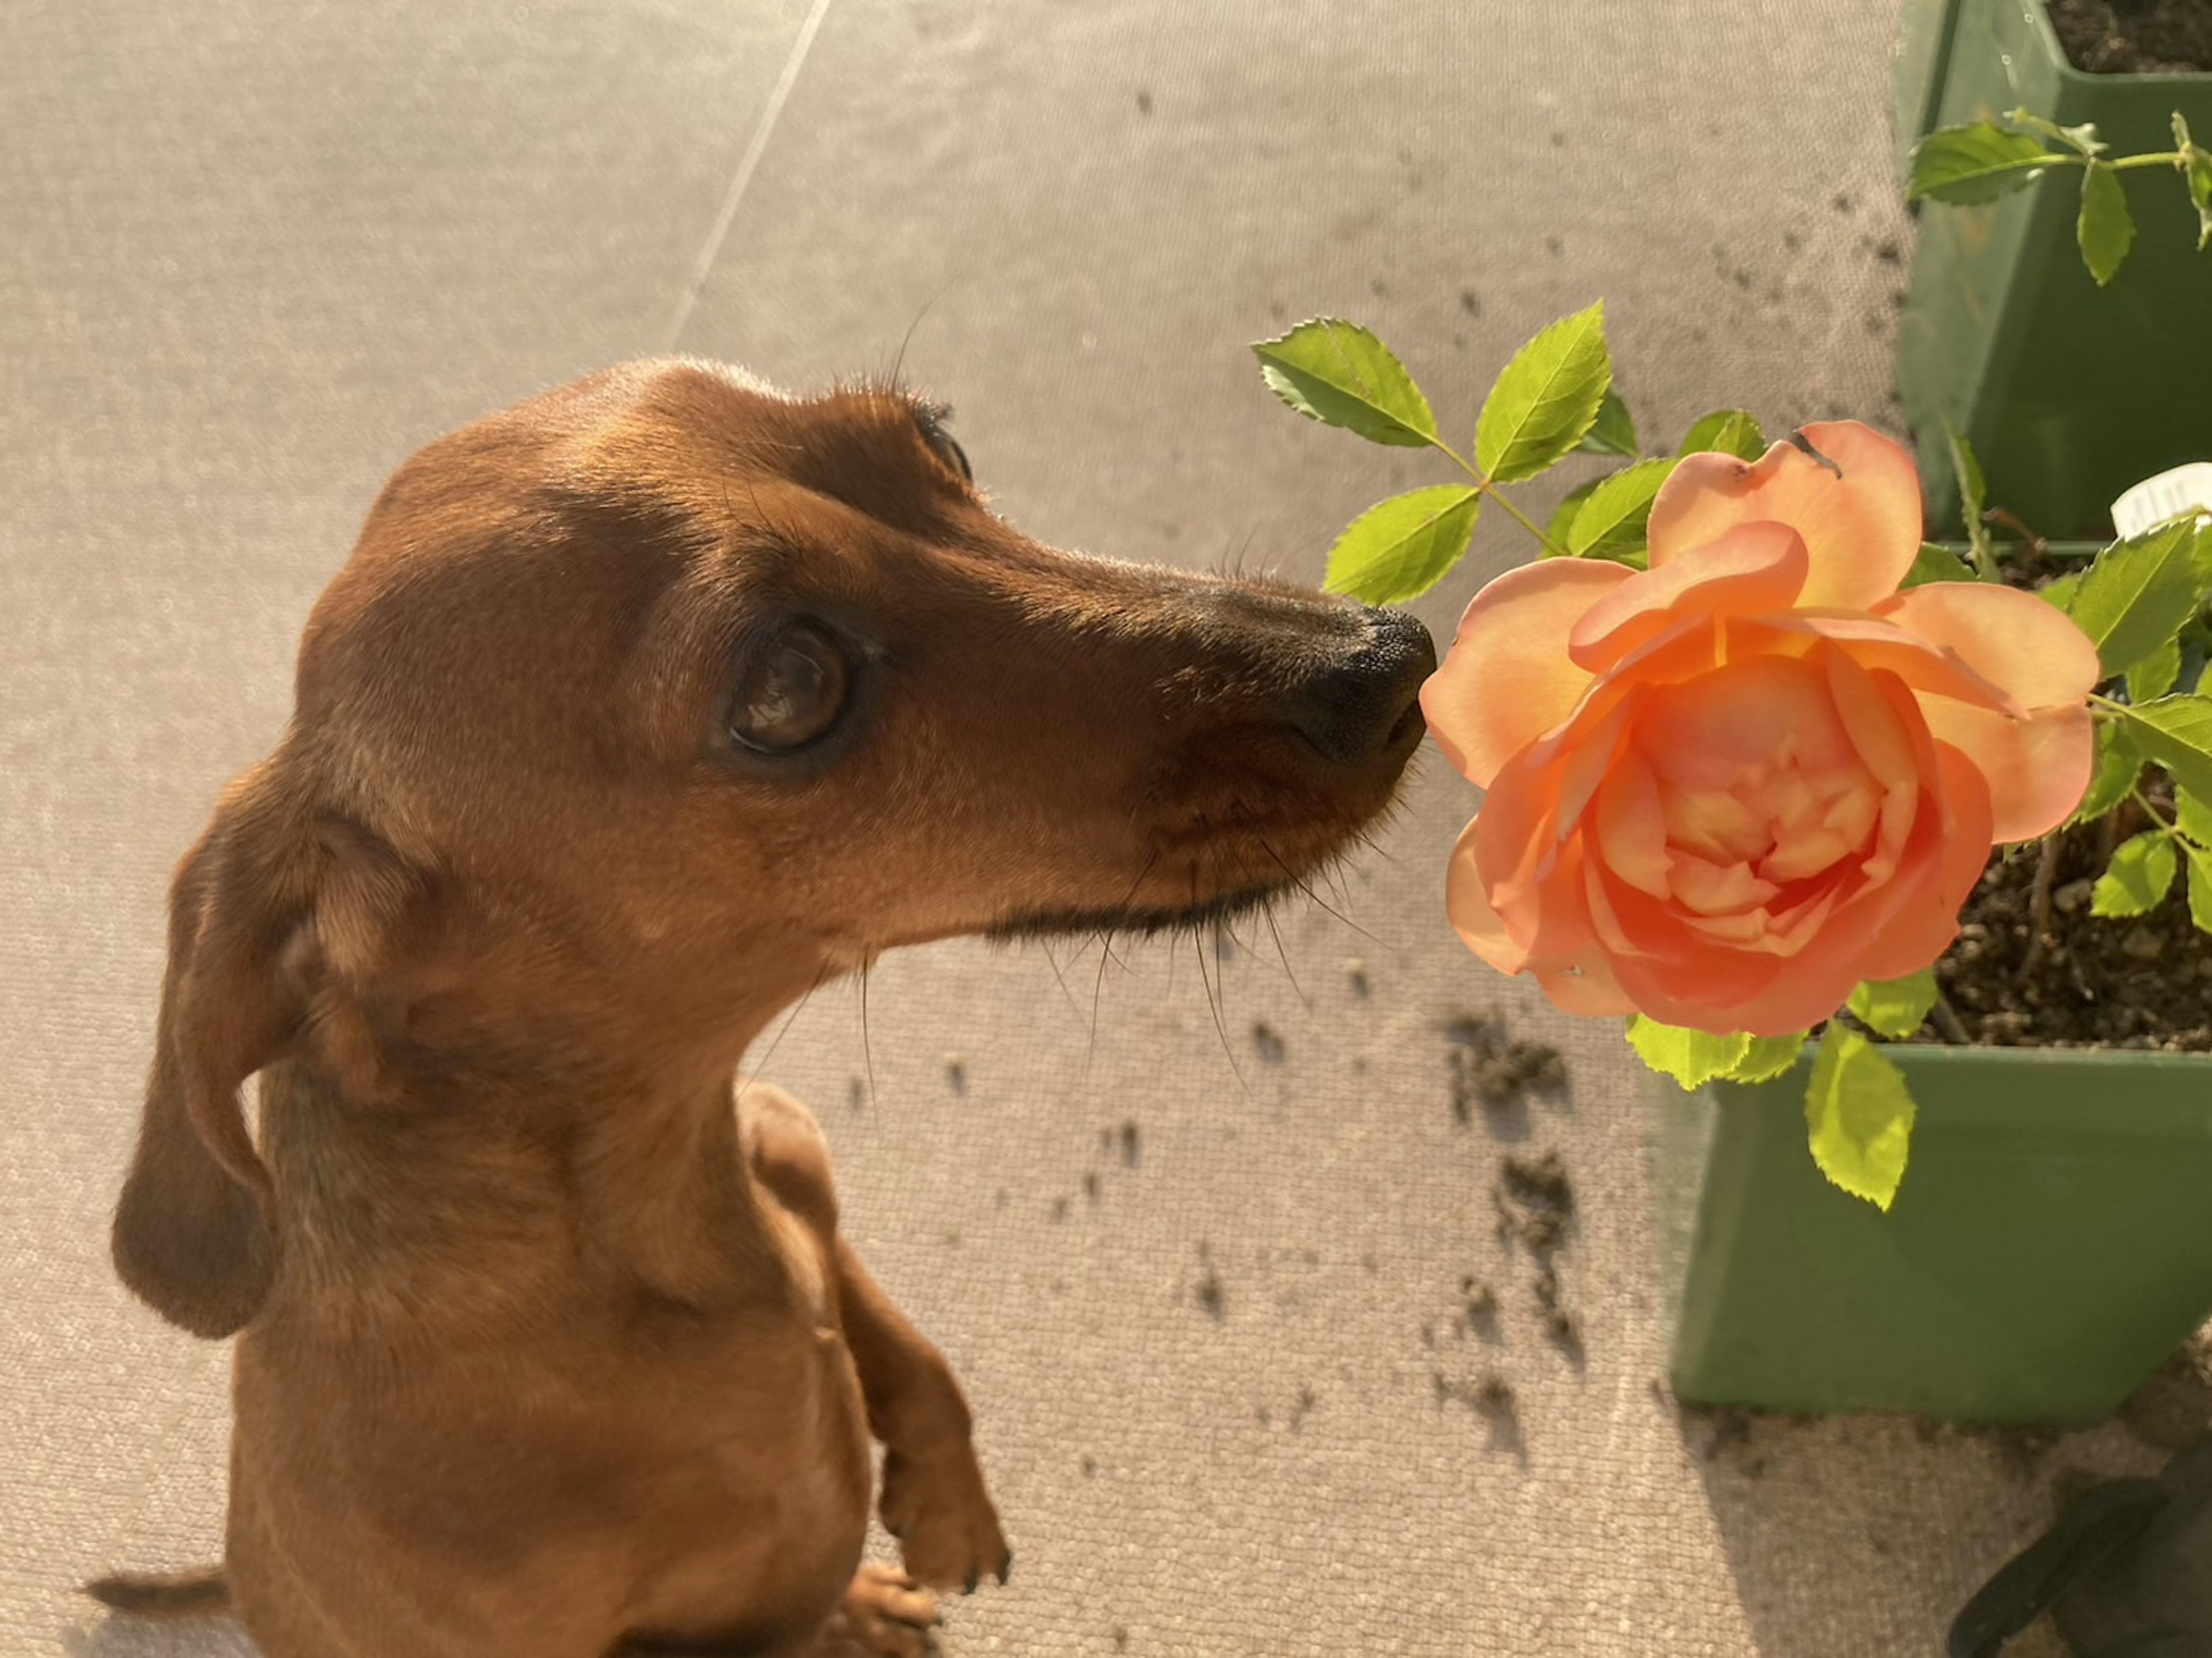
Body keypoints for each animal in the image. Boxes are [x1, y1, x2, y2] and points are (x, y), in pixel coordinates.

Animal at [90, 362, 1433, 1658]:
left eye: (942, 444)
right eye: (791, 685)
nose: (1391, 659)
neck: (666, 1223)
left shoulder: (796, 1149)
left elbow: (909, 1346)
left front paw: (947, 1505)